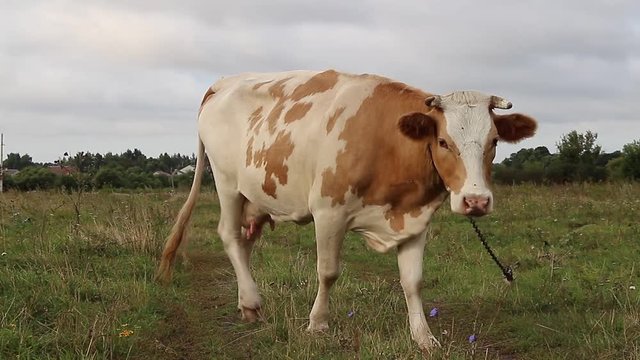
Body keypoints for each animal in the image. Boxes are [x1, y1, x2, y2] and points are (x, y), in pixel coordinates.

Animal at [158, 69, 536, 352]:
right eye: (443, 141)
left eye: (494, 142)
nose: (476, 201)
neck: (388, 143)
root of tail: (224, 83)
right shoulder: (328, 211)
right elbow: (328, 272)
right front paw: (317, 324)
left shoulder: (414, 217)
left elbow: (413, 281)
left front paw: (424, 337)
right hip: (227, 184)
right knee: (229, 236)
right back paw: (252, 301)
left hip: (256, 197)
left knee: (245, 241)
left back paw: (245, 303)